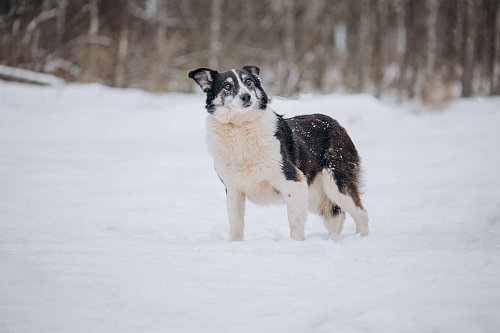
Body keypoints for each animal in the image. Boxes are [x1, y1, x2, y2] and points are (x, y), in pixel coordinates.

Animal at [188, 65, 368, 241]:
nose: (246, 96)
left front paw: (295, 244)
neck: (241, 126)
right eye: (227, 86)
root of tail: (336, 123)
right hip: (314, 196)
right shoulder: (234, 191)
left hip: (336, 185)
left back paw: (361, 237)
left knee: (361, 213)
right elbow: (236, 227)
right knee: (338, 216)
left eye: (248, 82)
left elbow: (294, 222)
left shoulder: (293, 181)